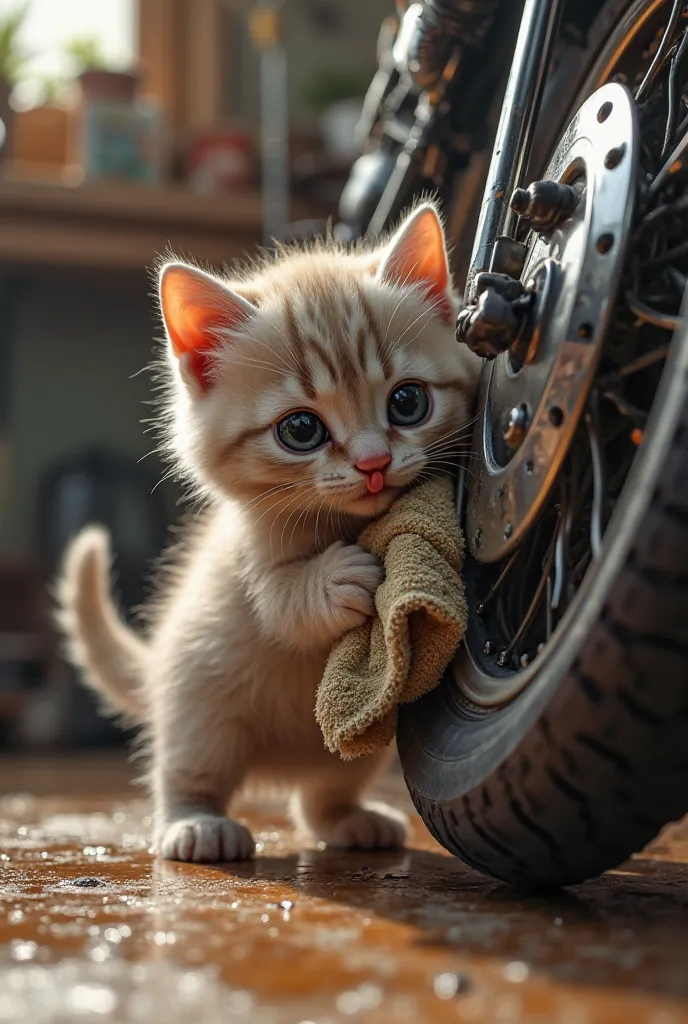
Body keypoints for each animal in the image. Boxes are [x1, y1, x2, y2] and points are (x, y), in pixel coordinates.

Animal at [56, 203, 481, 860]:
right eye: (300, 430)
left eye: (407, 402)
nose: (374, 463)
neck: (338, 520)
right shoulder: (246, 564)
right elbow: (282, 602)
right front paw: (338, 578)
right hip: (200, 710)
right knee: (185, 772)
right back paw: (196, 824)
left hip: (357, 743)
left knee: (321, 795)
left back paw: (349, 820)